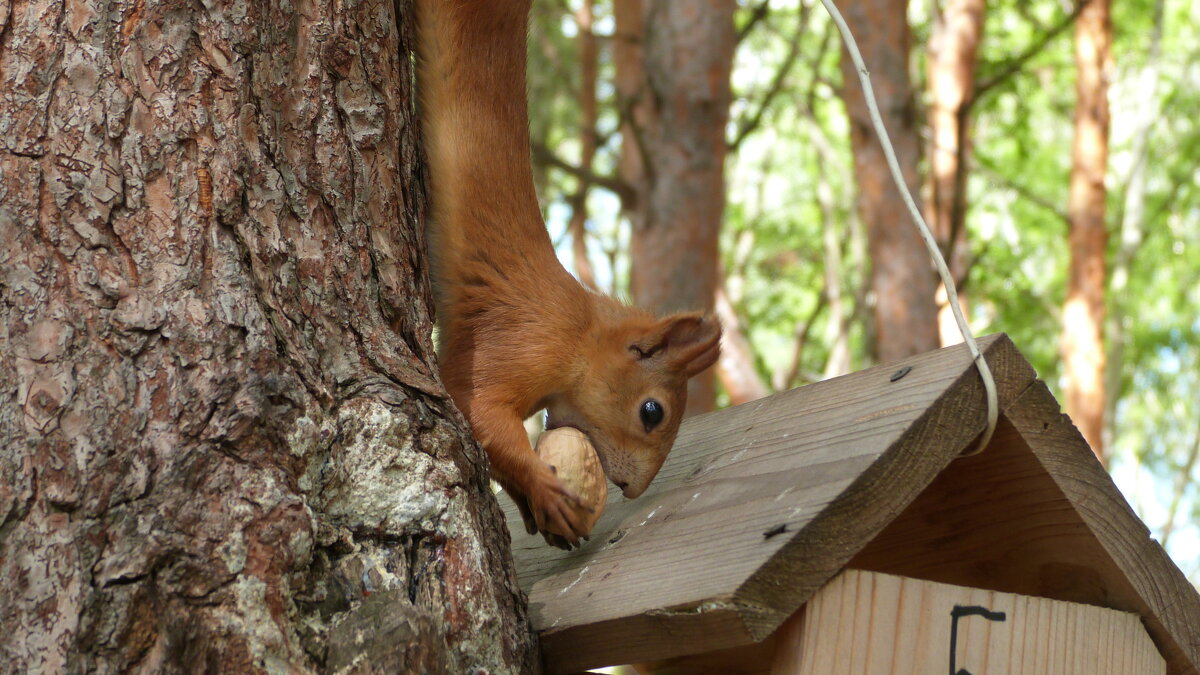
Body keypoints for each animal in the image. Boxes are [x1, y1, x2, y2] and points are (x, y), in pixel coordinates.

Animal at [417, 0, 720, 542]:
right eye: (652, 412)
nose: (632, 491)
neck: (582, 333)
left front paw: (533, 507)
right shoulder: (525, 342)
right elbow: (477, 406)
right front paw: (545, 491)